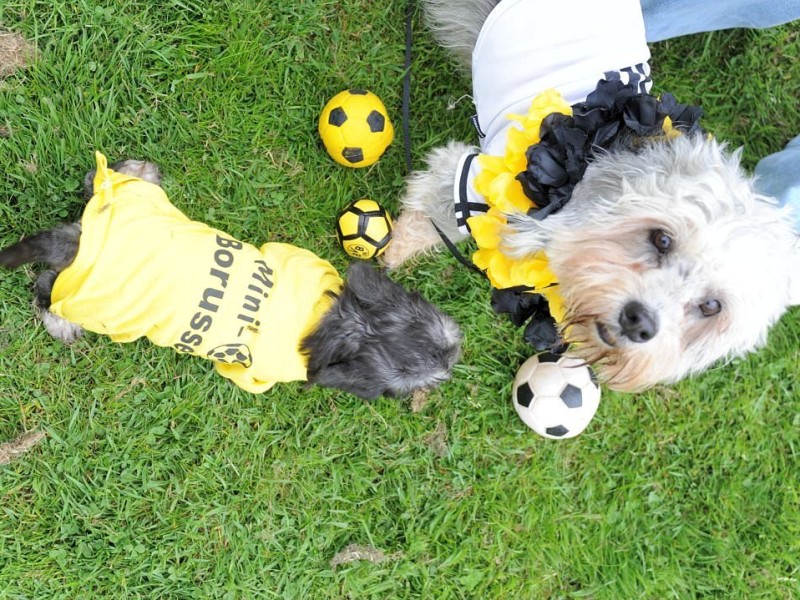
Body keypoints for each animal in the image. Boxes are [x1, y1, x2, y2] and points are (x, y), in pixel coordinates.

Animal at [0, 152, 462, 400]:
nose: (457, 359)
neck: (338, 323)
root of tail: (82, 243)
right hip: (102, 309)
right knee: (45, 290)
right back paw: (59, 322)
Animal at [384, 0, 796, 392]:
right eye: (662, 239)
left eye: (711, 306)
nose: (639, 323)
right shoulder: (467, 180)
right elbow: (428, 218)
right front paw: (394, 252)